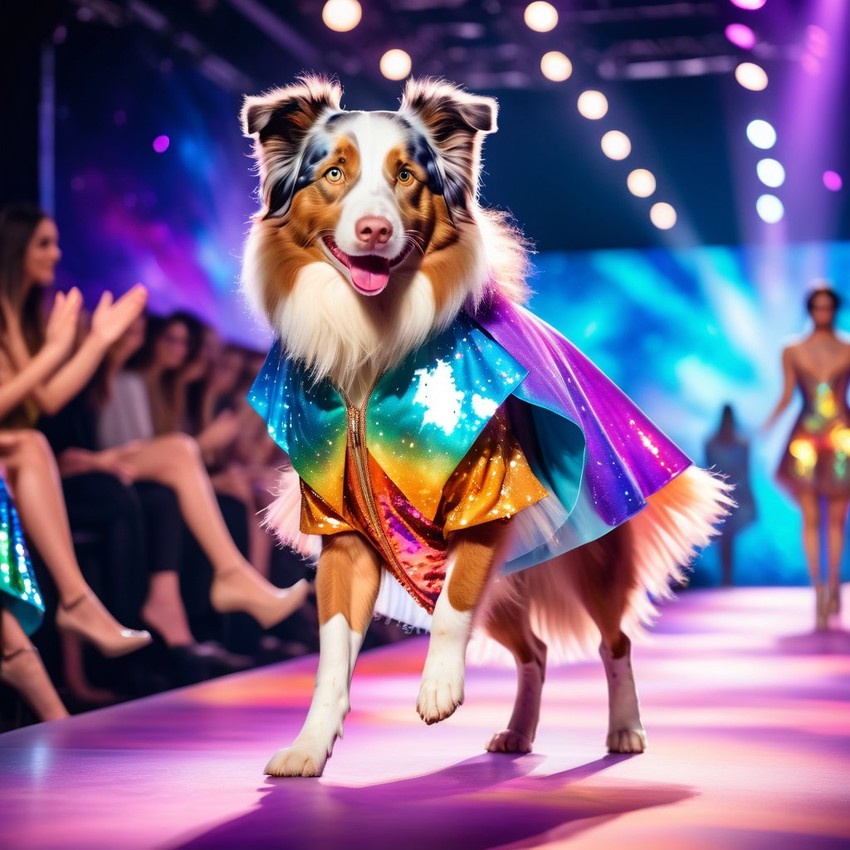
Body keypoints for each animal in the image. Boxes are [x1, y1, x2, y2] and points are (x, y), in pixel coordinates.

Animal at [237, 76, 728, 780]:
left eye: (406, 175)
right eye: (333, 173)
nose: (374, 228)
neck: (372, 344)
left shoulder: (489, 500)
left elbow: (451, 610)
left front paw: (438, 687)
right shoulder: (342, 532)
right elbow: (331, 655)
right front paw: (309, 747)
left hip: (591, 559)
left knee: (616, 640)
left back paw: (626, 729)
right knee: (535, 651)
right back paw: (519, 731)